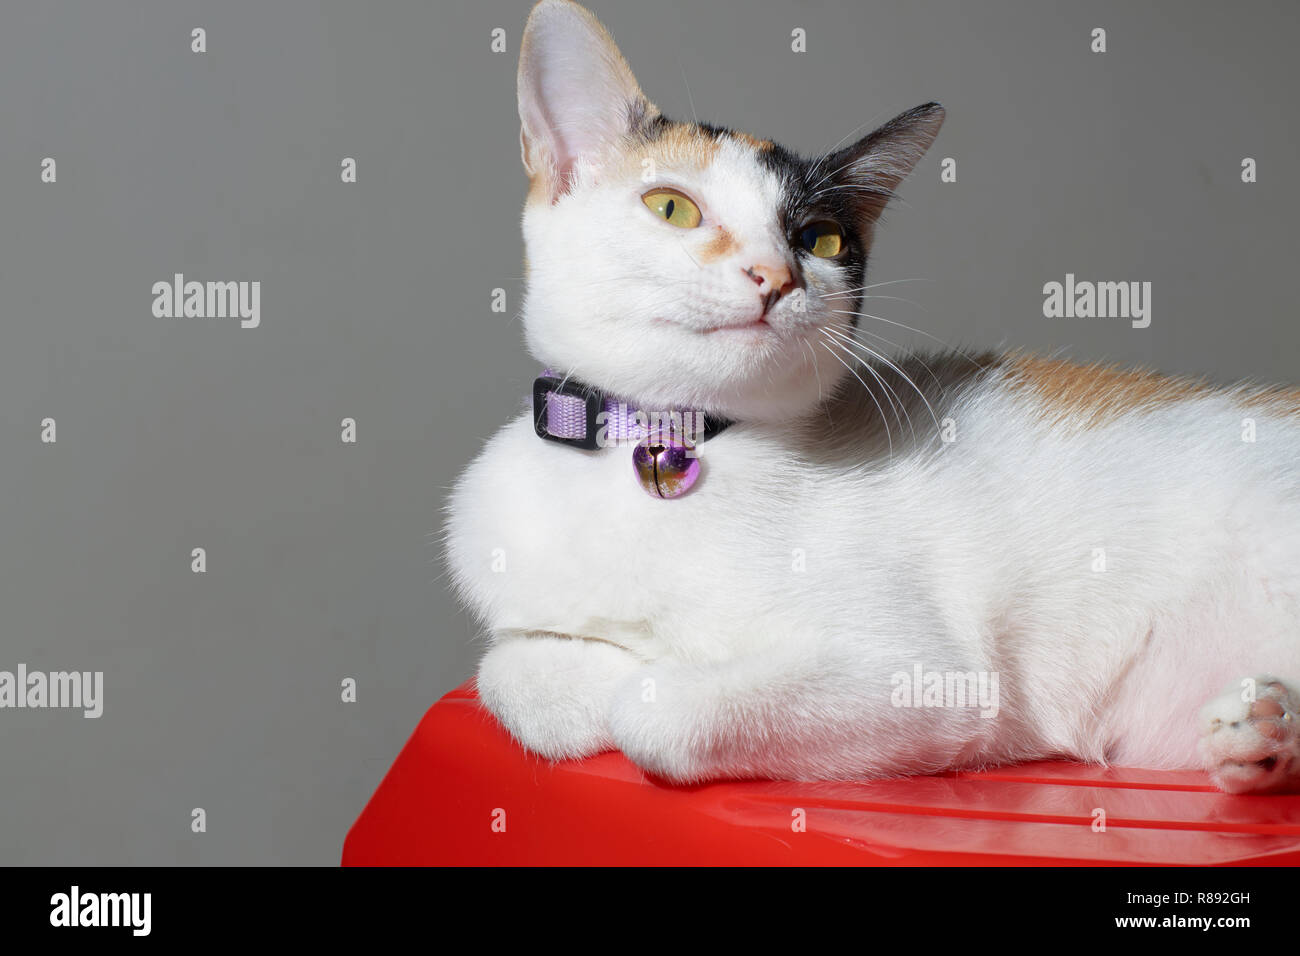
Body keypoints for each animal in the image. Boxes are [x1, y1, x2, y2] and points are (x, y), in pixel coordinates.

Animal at [441, 0, 1294, 790]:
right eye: (672, 206)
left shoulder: (934, 679)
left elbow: (656, 712)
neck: (665, 444)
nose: (774, 276)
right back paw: (1258, 735)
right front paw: (593, 671)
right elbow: (504, 671)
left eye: (819, 239)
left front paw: (643, 673)